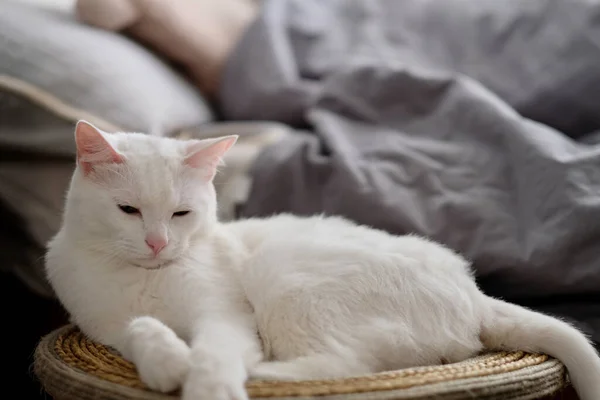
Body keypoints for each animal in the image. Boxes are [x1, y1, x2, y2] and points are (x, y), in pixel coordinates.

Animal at [47, 121, 600, 400]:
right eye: (129, 211)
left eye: (181, 214)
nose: (158, 243)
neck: (147, 277)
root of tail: (476, 295)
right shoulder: (105, 327)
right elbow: (141, 329)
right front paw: (166, 362)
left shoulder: (223, 315)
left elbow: (215, 353)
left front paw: (207, 385)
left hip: (285, 278)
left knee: (345, 363)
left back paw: (262, 373)